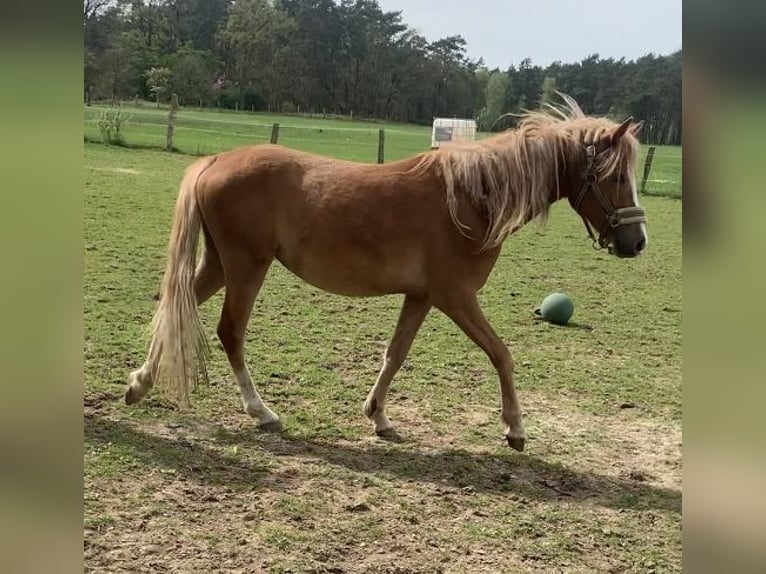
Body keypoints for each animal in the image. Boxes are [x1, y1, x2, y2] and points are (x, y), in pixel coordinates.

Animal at [124, 95, 648, 454]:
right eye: (615, 177)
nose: (637, 242)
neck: (472, 198)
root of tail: (216, 160)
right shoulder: (456, 296)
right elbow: (501, 354)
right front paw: (515, 428)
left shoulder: (421, 297)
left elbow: (394, 355)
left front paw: (377, 416)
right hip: (246, 267)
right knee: (229, 332)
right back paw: (261, 412)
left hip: (218, 264)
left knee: (174, 309)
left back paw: (140, 384)